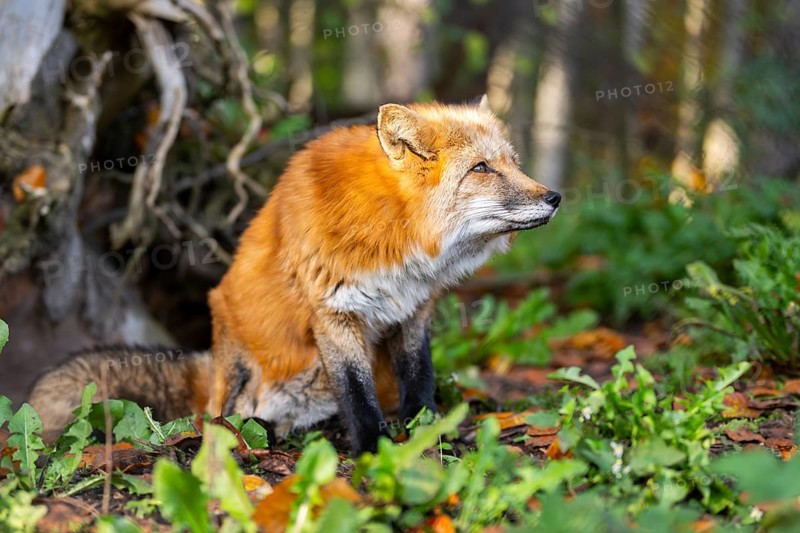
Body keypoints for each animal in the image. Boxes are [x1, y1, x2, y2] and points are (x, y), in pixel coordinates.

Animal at [28, 96, 561, 454]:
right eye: (482, 168)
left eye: (514, 163)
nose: (554, 197)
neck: (395, 238)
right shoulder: (334, 313)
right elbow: (358, 397)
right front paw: (375, 451)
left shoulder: (413, 311)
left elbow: (421, 379)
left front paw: (430, 431)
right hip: (235, 355)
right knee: (218, 421)